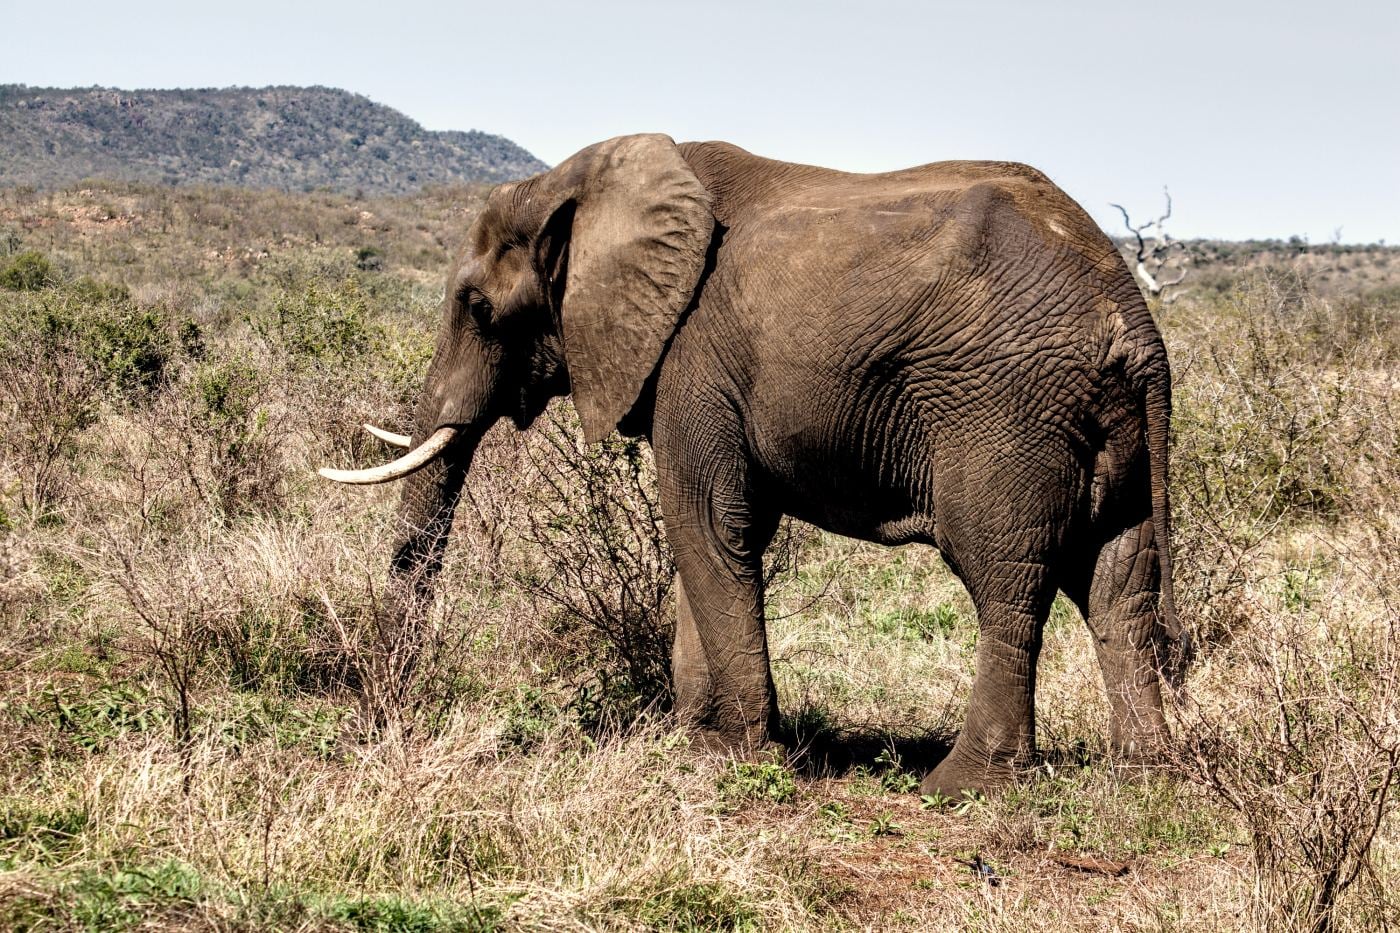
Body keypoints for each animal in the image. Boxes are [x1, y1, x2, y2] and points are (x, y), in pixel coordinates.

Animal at [319, 133, 1187, 797]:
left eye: (478, 308)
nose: (383, 718)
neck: (588, 180)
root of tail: (1131, 323)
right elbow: (707, 540)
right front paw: (685, 739)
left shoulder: (695, 358)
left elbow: (707, 522)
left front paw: (729, 754)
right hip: (1114, 437)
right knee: (1121, 584)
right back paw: (1146, 778)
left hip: (1007, 415)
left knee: (1007, 581)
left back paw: (964, 786)